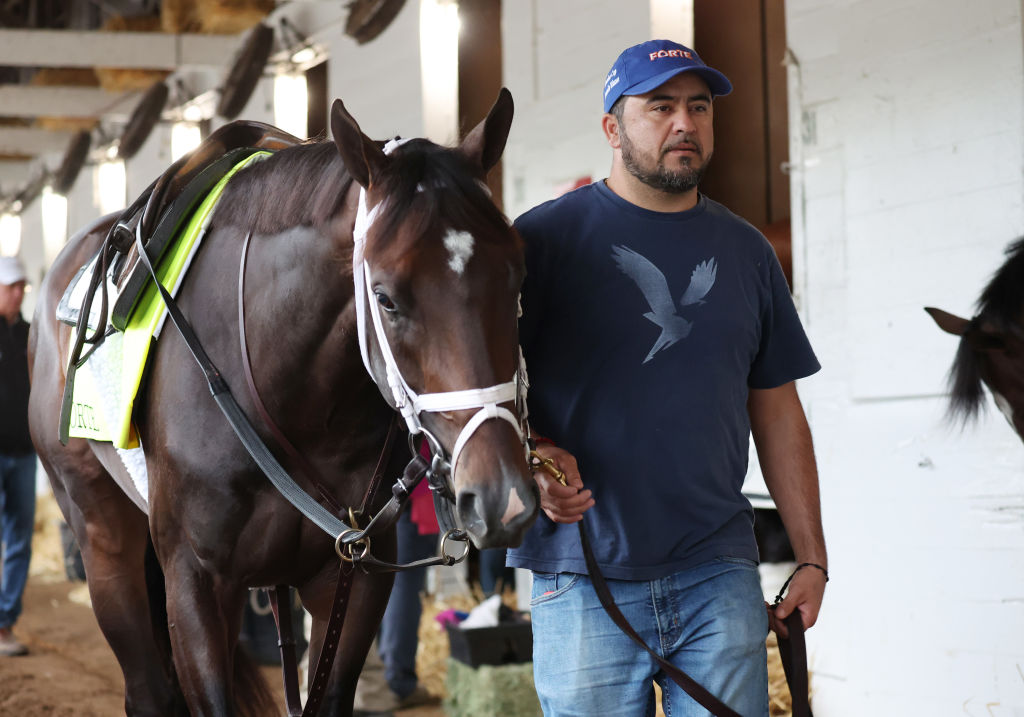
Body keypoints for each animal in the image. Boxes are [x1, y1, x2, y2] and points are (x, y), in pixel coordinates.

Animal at [28, 89, 540, 717]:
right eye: (385, 298)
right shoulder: (194, 582)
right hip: (100, 533)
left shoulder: (354, 571)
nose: (501, 495)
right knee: (146, 686)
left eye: (518, 277)